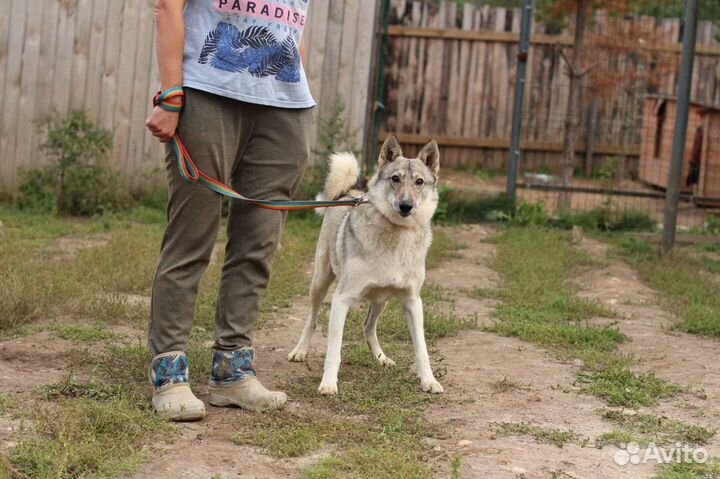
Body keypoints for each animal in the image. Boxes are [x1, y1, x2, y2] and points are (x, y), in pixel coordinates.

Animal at [288, 136, 444, 398]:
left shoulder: (413, 302)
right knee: (312, 319)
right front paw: (328, 383)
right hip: (320, 282)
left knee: (368, 326)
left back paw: (381, 358)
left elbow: (422, 349)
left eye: (420, 182)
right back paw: (299, 351)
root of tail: (349, 192)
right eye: (395, 179)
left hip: (381, 300)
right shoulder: (341, 299)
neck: (396, 235)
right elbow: (334, 350)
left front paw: (429, 381)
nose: (406, 206)